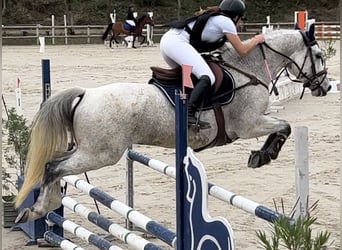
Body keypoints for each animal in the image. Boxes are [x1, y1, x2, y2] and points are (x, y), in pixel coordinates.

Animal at [14, 25, 330, 225]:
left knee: (53, 165)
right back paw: (39, 209)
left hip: (89, 150)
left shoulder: (252, 124)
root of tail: (86, 94)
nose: (325, 87)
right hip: (100, 153)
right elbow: (285, 126)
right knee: (53, 167)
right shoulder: (249, 125)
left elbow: (283, 126)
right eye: (318, 56)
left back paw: (39, 209)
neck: (247, 70)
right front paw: (263, 155)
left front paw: (261, 155)